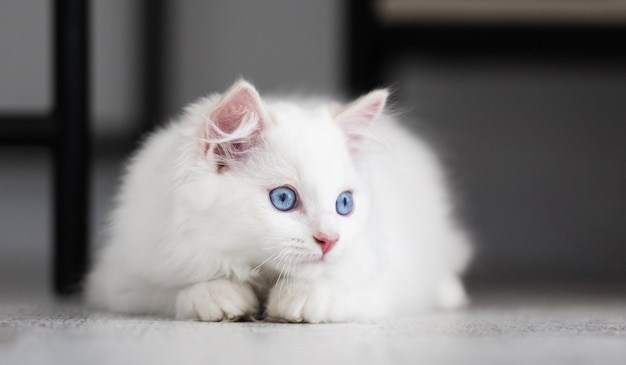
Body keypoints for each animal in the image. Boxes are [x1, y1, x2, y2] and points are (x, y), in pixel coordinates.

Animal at [86, 79, 468, 322]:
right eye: (283, 198)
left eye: (344, 204)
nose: (330, 240)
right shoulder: (121, 280)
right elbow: (177, 289)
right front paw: (219, 295)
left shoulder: (387, 278)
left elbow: (342, 287)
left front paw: (299, 299)